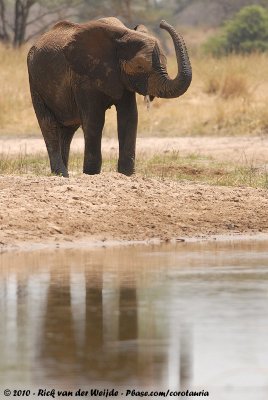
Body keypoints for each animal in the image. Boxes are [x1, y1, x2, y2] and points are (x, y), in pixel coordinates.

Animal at [27, 16, 192, 177]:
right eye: (139, 66)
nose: (162, 23)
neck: (123, 35)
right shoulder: (83, 76)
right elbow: (94, 120)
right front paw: (91, 174)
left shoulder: (122, 80)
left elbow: (129, 117)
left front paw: (126, 175)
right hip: (34, 81)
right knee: (48, 124)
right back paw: (61, 173)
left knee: (68, 130)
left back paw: (63, 175)